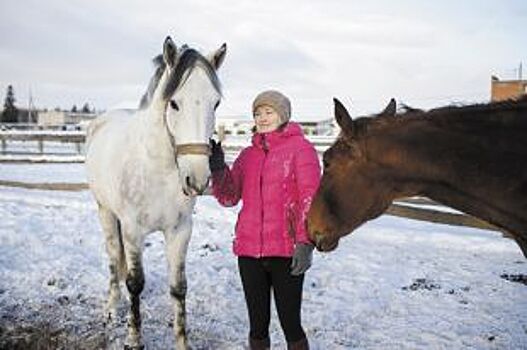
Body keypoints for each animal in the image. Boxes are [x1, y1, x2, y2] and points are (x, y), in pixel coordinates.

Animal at [85, 37, 226, 348]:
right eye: (174, 103)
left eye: (216, 102)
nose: (198, 180)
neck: (157, 168)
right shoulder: (132, 230)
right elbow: (135, 283)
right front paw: (134, 338)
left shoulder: (180, 230)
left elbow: (179, 287)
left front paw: (182, 342)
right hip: (105, 212)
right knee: (113, 259)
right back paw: (111, 308)